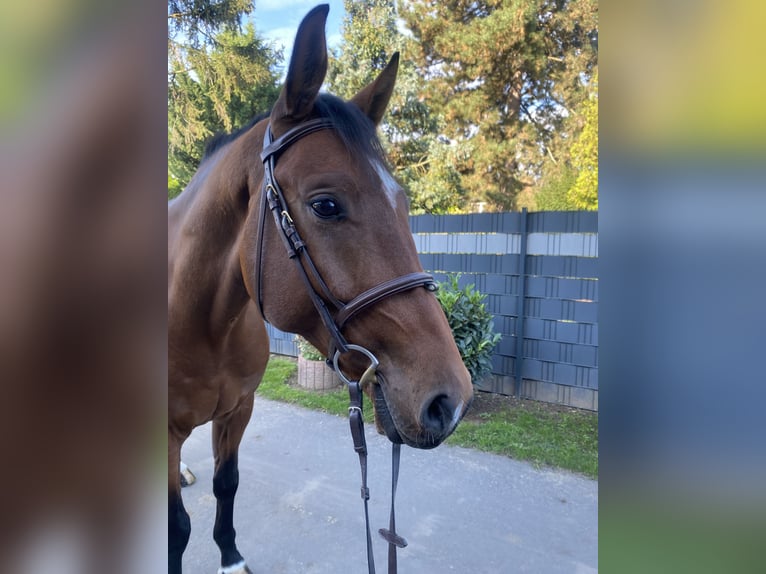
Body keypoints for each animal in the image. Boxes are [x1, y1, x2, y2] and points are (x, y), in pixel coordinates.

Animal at [170, 5, 474, 574]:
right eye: (326, 204)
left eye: (402, 202)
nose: (452, 401)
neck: (202, 325)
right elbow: (176, 527)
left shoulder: (238, 411)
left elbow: (227, 483)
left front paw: (230, 556)